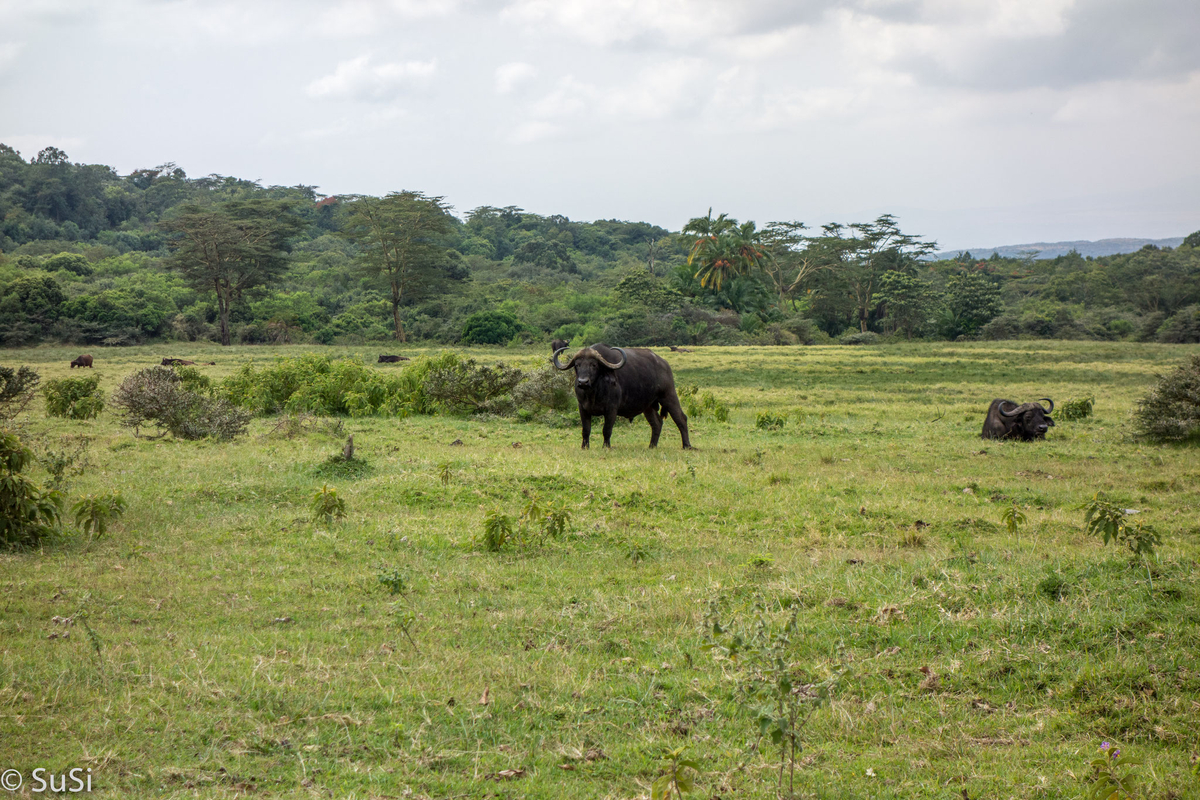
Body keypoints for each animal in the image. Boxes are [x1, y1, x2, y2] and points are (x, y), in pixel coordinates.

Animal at [549, 345, 691, 450]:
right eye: (577, 365)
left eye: (593, 365)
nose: (583, 382)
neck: (593, 392)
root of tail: (664, 364)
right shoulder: (582, 408)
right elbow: (586, 429)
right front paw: (585, 447)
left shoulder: (612, 409)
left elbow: (607, 429)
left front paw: (606, 447)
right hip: (648, 406)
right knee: (657, 423)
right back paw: (652, 446)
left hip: (669, 395)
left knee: (681, 418)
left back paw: (687, 446)